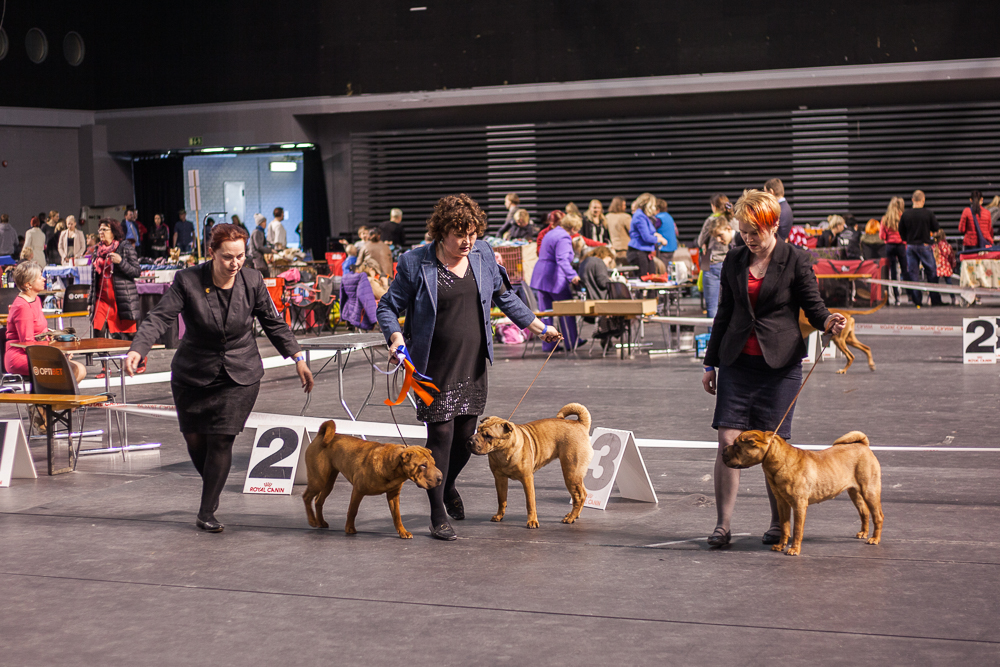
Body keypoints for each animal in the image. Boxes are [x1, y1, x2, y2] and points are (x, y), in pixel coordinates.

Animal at [302, 421, 442, 539]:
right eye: (423, 466)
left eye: (434, 463)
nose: (440, 477)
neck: (392, 466)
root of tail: (321, 435)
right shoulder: (358, 490)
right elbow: (352, 510)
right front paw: (350, 528)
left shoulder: (393, 495)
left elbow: (397, 516)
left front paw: (402, 532)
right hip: (318, 480)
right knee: (307, 497)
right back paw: (312, 520)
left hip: (328, 482)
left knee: (318, 500)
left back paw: (320, 522)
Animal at [723, 430, 883, 556]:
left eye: (736, 445)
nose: (723, 449)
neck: (779, 461)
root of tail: (863, 445)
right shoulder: (782, 503)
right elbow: (785, 527)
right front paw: (780, 546)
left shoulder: (799, 505)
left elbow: (797, 530)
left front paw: (794, 549)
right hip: (854, 492)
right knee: (864, 511)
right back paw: (863, 533)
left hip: (870, 490)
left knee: (878, 516)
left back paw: (874, 539)